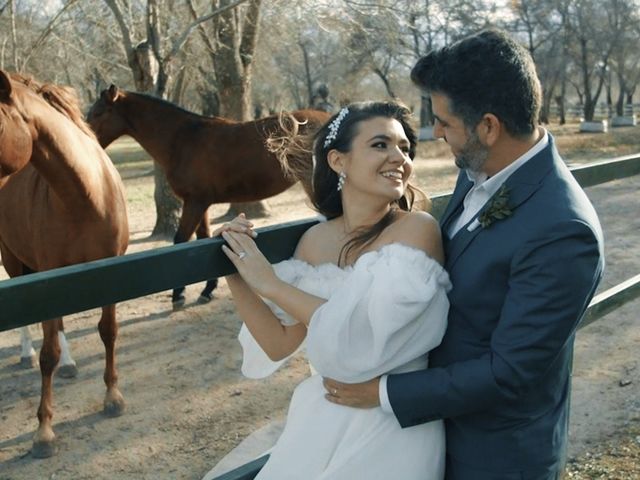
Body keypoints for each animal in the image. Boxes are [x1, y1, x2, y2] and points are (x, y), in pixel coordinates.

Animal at [0, 71, 129, 458]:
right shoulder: (48, 277)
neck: (86, 195)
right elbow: (48, 354)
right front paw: (43, 431)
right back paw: (26, 354)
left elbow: (108, 332)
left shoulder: (111, 270)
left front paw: (113, 397)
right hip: (14, 261)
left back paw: (71, 365)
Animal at [87, 87, 330, 308]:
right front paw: (207, 289)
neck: (183, 139)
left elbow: (181, 240)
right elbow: (203, 239)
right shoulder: (201, 203)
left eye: (98, 112)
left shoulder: (194, 202)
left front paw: (179, 295)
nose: (87, 138)